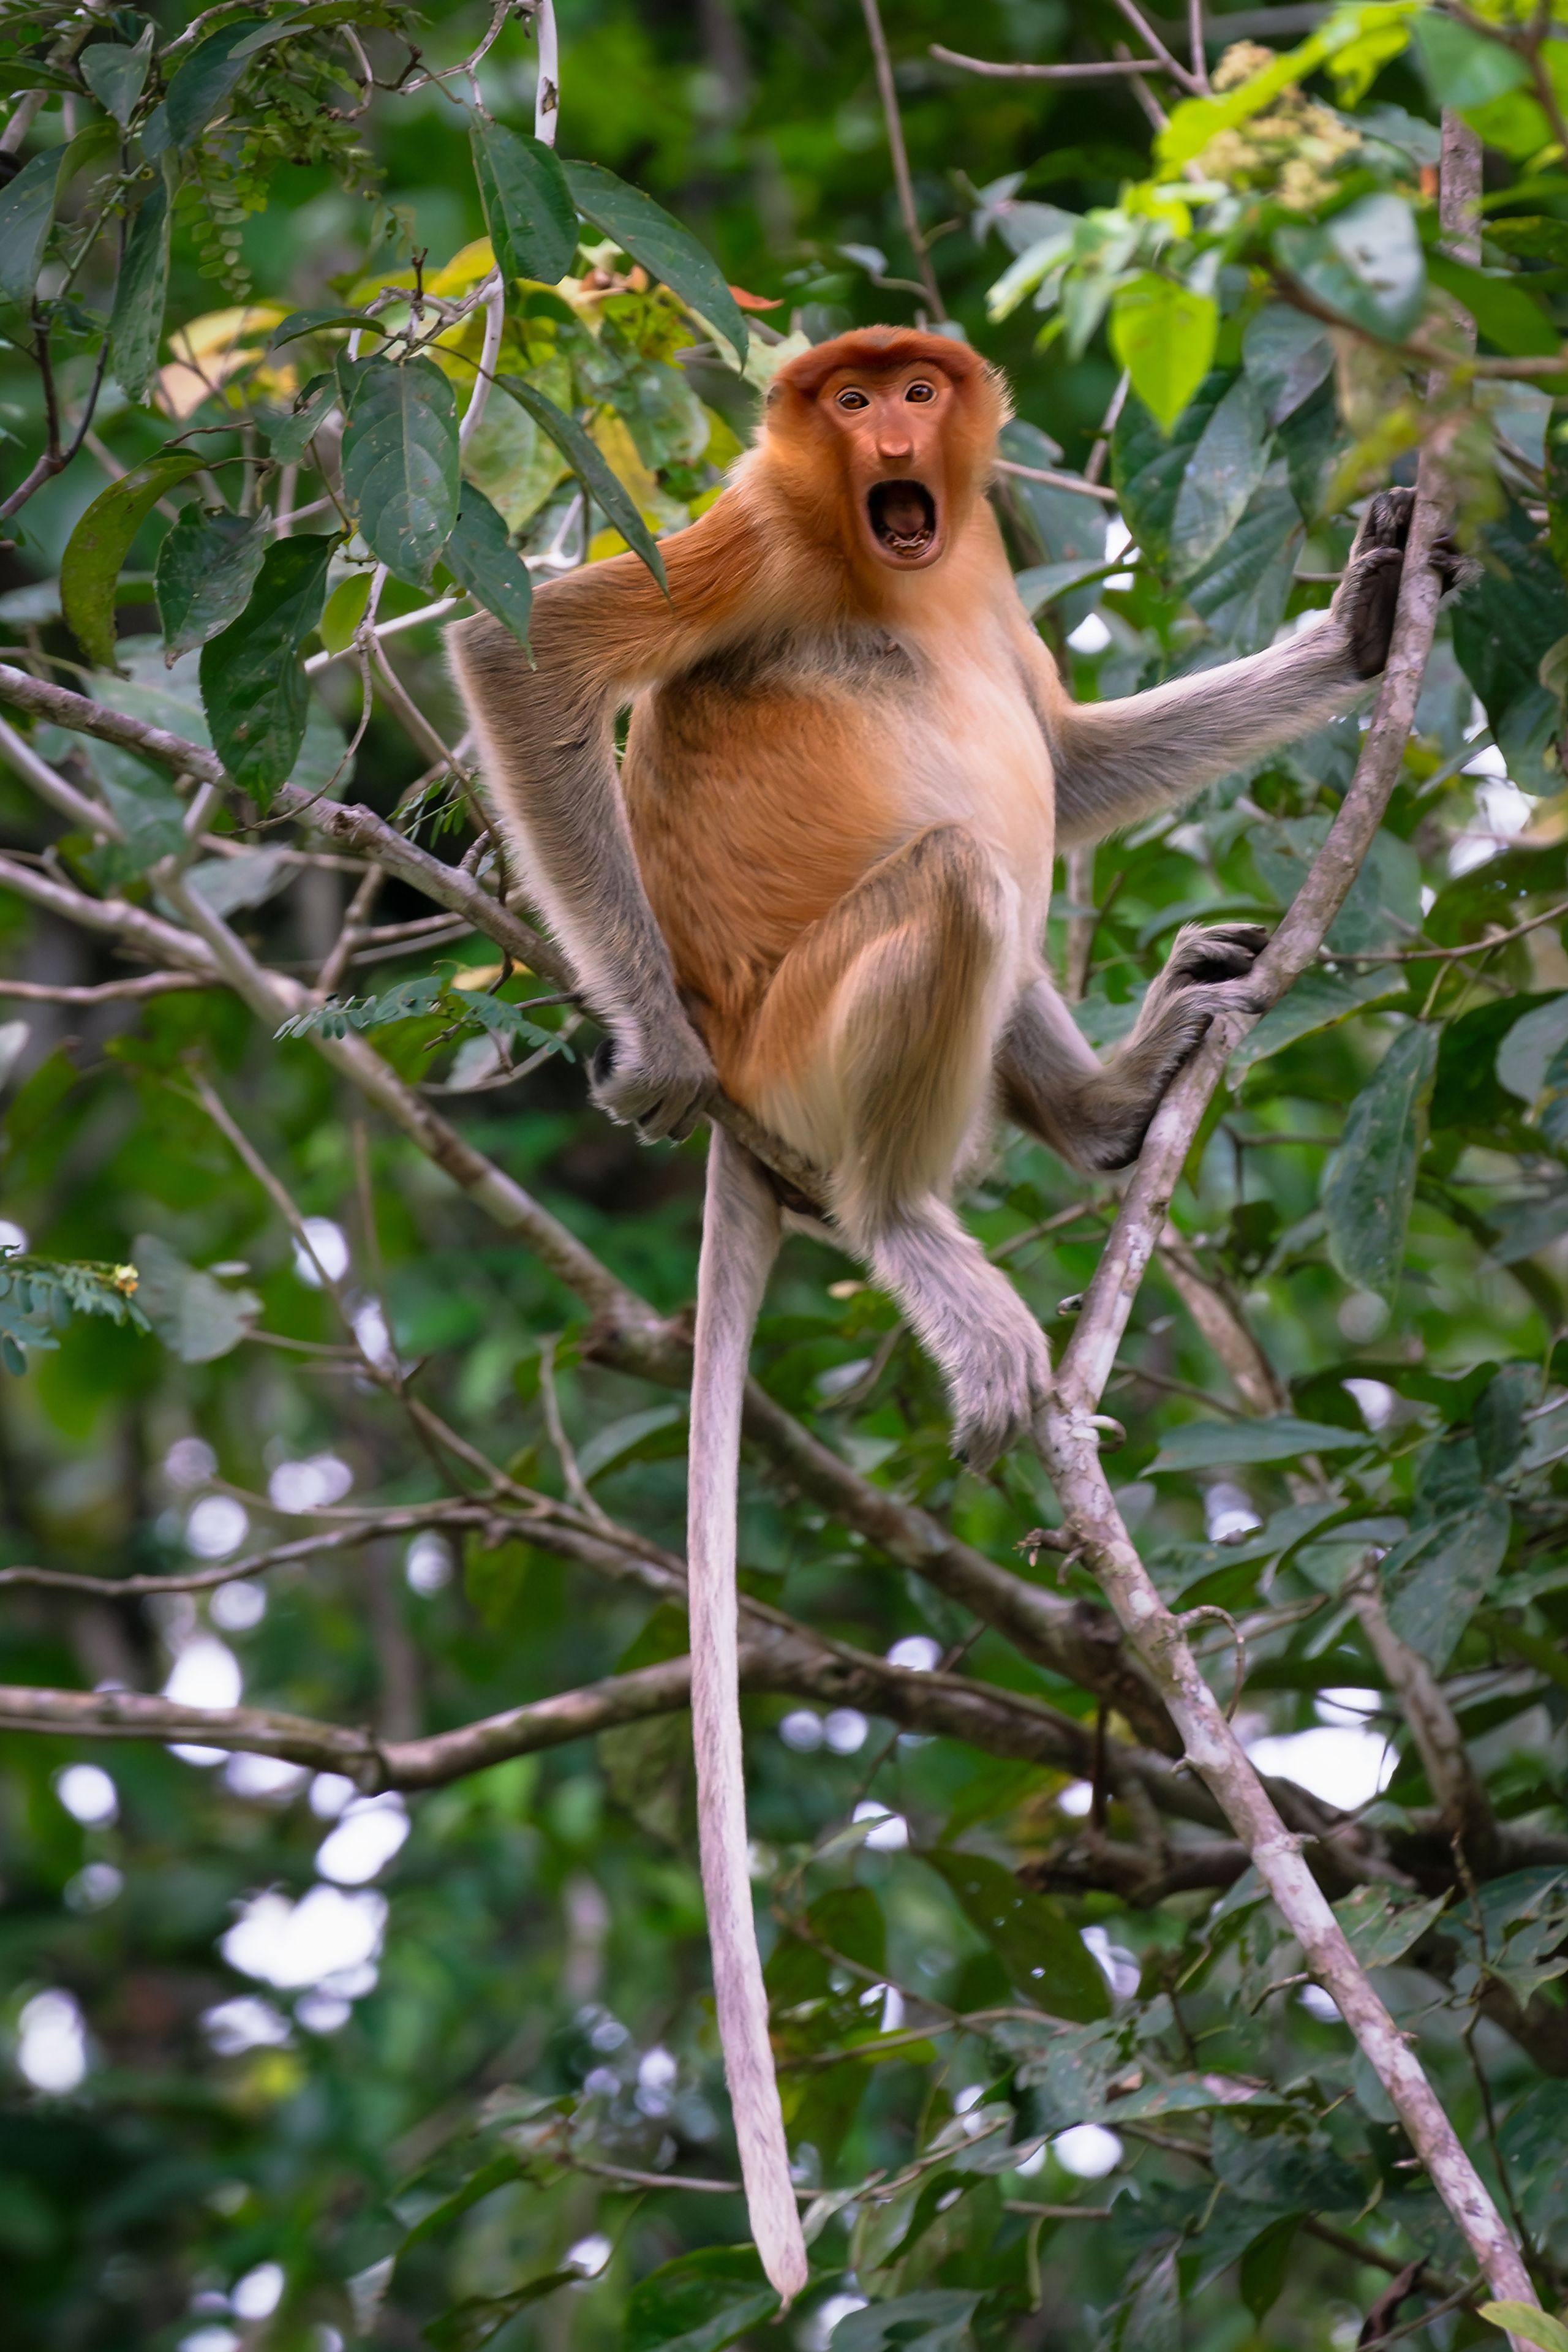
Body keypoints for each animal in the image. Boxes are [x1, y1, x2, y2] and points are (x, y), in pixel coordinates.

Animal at [449, 327, 1431, 2300]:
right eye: (843, 399)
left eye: (912, 384)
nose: (894, 424)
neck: (892, 558)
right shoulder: (759, 530)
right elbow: (528, 652)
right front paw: (643, 1059)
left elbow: (1062, 747)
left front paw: (1368, 619)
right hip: (806, 1036)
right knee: (968, 873)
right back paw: (908, 1225)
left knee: (1012, 811)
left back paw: (1108, 1105)